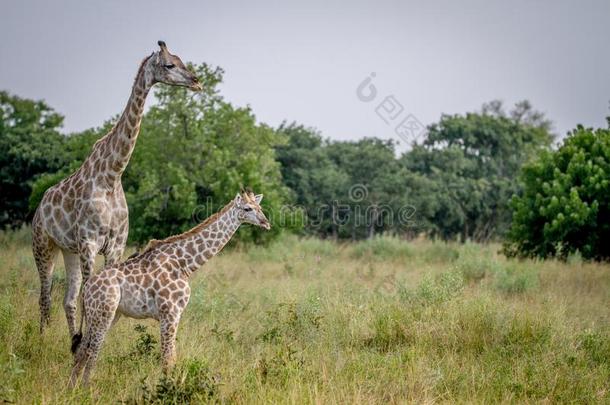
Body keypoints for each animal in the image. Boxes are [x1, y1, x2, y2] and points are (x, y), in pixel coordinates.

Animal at [32, 41, 202, 340]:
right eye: (169, 64)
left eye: (182, 60)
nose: (196, 81)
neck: (112, 175)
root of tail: (39, 208)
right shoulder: (89, 243)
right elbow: (89, 296)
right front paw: (88, 343)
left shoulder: (115, 247)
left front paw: (93, 341)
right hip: (43, 246)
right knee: (46, 297)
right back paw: (42, 340)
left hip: (68, 250)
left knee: (67, 299)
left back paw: (71, 338)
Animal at [68, 189, 268, 386]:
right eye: (248, 208)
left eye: (260, 207)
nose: (266, 223)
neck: (185, 264)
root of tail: (86, 289)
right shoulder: (169, 313)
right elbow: (168, 359)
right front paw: (168, 389)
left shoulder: (174, 315)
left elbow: (171, 357)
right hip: (104, 311)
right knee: (92, 351)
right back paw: (86, 389)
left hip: (104, 314)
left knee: (82, 350)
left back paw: (73, 388)